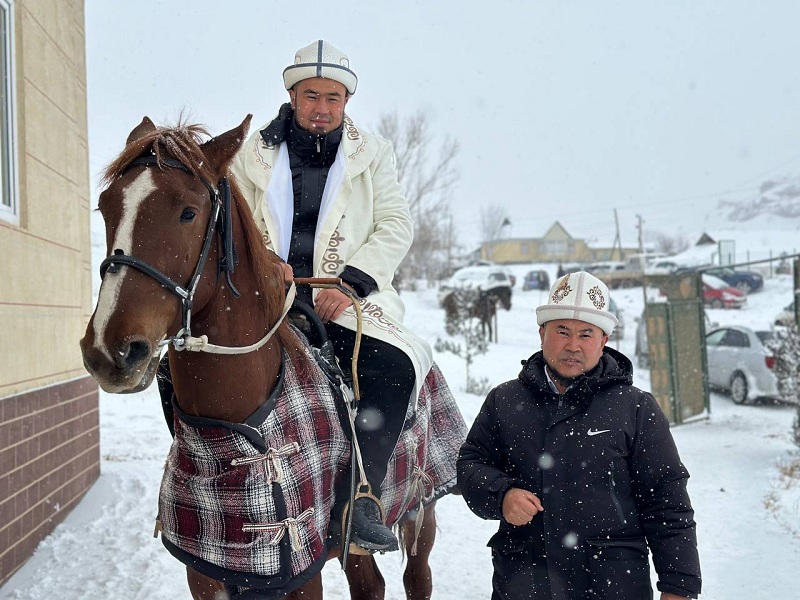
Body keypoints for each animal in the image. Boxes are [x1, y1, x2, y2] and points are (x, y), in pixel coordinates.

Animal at [80, 116, 462, 600]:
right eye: (106, 208)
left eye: (187, 211)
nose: (110, 348)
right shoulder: (208, 575)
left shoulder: (301, 575)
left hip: (420, 512)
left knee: (417, 576)